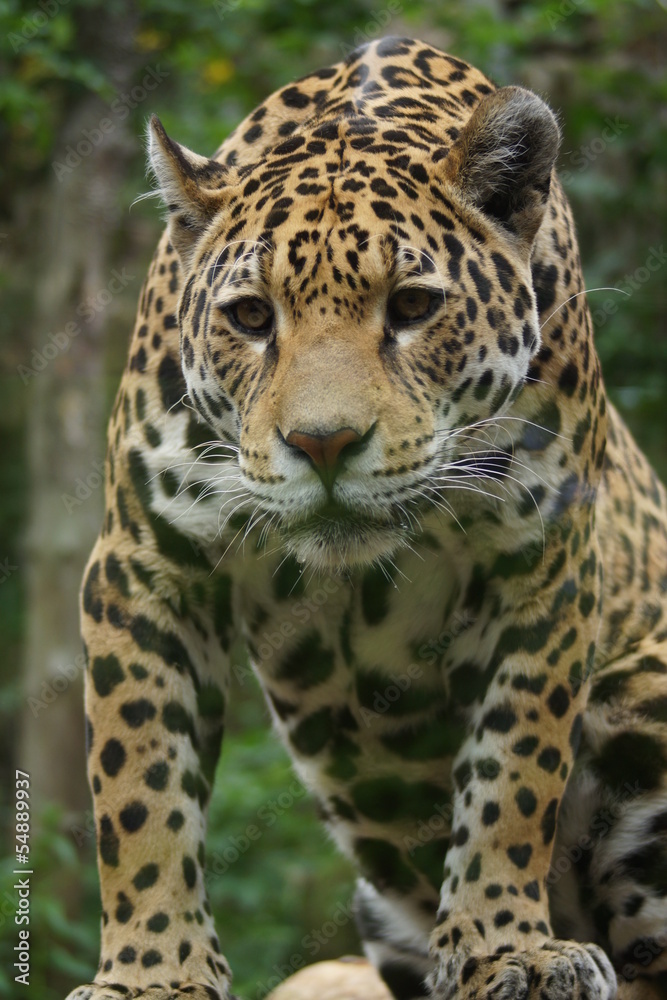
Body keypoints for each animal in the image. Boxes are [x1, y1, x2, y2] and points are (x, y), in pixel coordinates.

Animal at [66, 36, 667, 1000]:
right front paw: (152, 973)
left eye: (414, 306)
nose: (323, 443)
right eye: (251, 316)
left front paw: (505, 946)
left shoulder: (542, 565)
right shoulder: (145, 569)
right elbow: (137, 790)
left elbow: (514, 774)